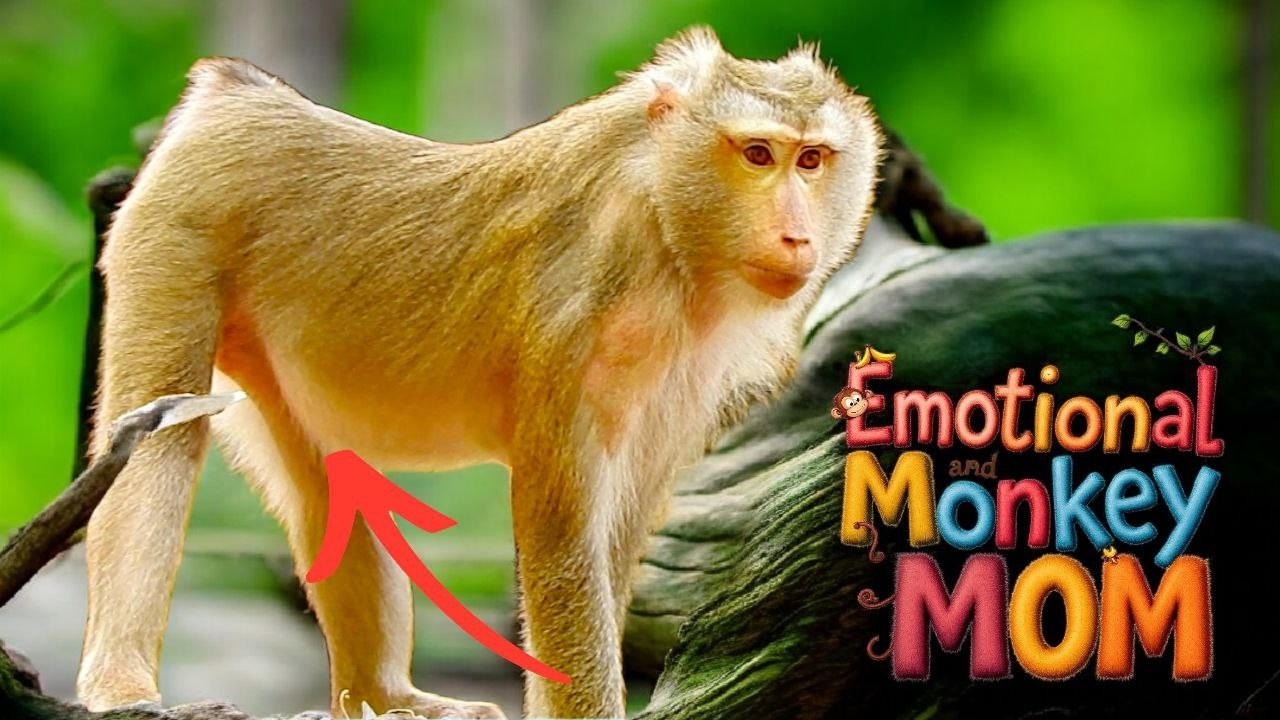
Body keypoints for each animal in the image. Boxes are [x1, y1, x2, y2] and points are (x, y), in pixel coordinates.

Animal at [78, 27, 882, 719]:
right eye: (758, 154)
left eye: (812, 160)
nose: (796, 235)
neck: (665, 217)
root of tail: (241, 98)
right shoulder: (579, 313)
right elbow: (562, 532)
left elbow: (618, 532)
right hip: (175, 229)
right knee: (156, 449)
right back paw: (121, 683)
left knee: (324, 484)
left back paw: (386, 696)